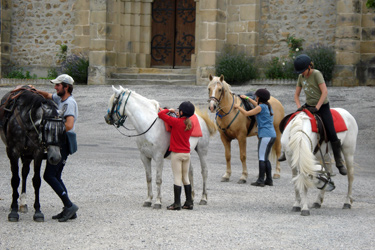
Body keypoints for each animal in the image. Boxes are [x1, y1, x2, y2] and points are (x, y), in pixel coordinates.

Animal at [0, 87, 65, 222]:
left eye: (63, 129)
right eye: (47, 129)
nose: (56, 158)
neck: (27, 124)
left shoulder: (37, 152)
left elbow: (36, 181)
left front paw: (38, 211)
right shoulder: (13, 152)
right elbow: (15, 180)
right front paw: (13, 211)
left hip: (27, 154)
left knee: (24, 173)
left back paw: (23, 203)